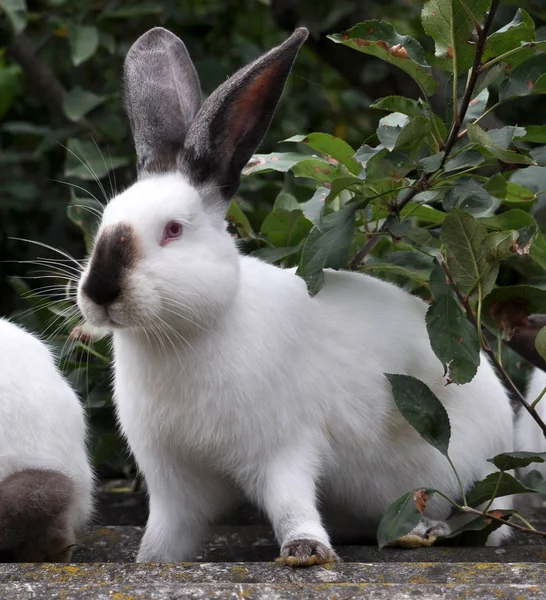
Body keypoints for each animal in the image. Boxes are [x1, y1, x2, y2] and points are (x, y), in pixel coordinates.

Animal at [76, 25, 516, 564]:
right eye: (103, 222)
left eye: (173, 230)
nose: (100, 291)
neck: (184, 335)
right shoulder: (174, 479)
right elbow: (168, 529)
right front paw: (152, 561)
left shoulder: (282, 446)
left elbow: (291, 502)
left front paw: (305, 551)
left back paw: (427, 530)